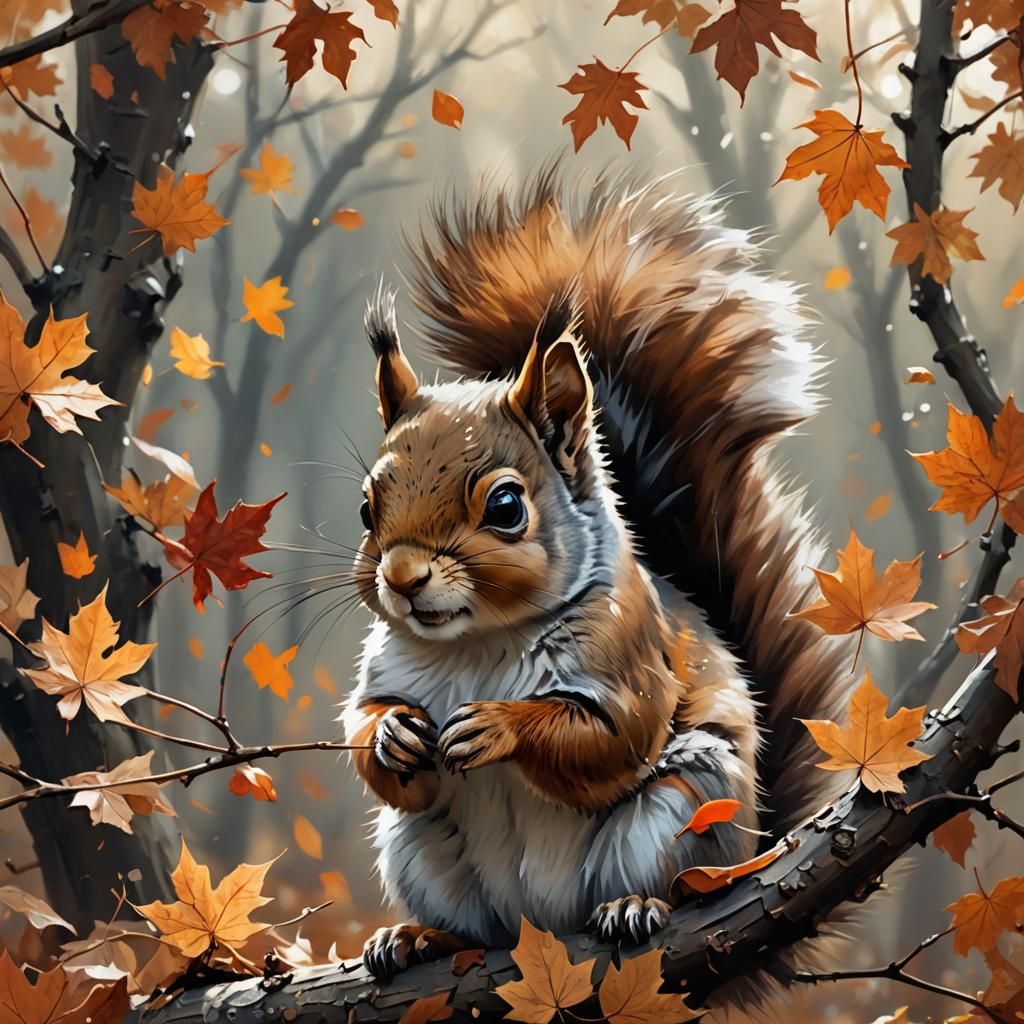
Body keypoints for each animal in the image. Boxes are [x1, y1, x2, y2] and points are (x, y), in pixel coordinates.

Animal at [342, 165, 854, 981]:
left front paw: (498, 726)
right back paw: (420, 937)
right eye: (367, 507)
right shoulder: (387, 671)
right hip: (420, 851)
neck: (478, 643)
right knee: (468, 919)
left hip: (686, 804)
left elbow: (610, 737)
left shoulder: (629, 657)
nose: (403, 577)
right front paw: (393, 733)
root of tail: (538, 925)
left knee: (669, 876)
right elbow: (367, 732)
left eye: (507, 507)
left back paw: (635, 907)